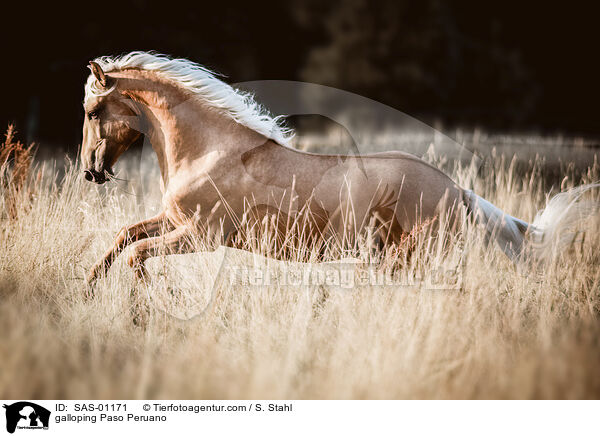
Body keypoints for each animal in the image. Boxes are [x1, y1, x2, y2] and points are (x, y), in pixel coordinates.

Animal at [82, 52, 596, 286]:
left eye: (92, 111)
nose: (90, 172)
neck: (209, 150)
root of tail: (459, 191)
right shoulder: (173, 220)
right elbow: (125, 236)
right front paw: (86, 288)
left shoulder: (201, 235)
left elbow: (138, 254)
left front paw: (150, 302)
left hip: (407, 256)